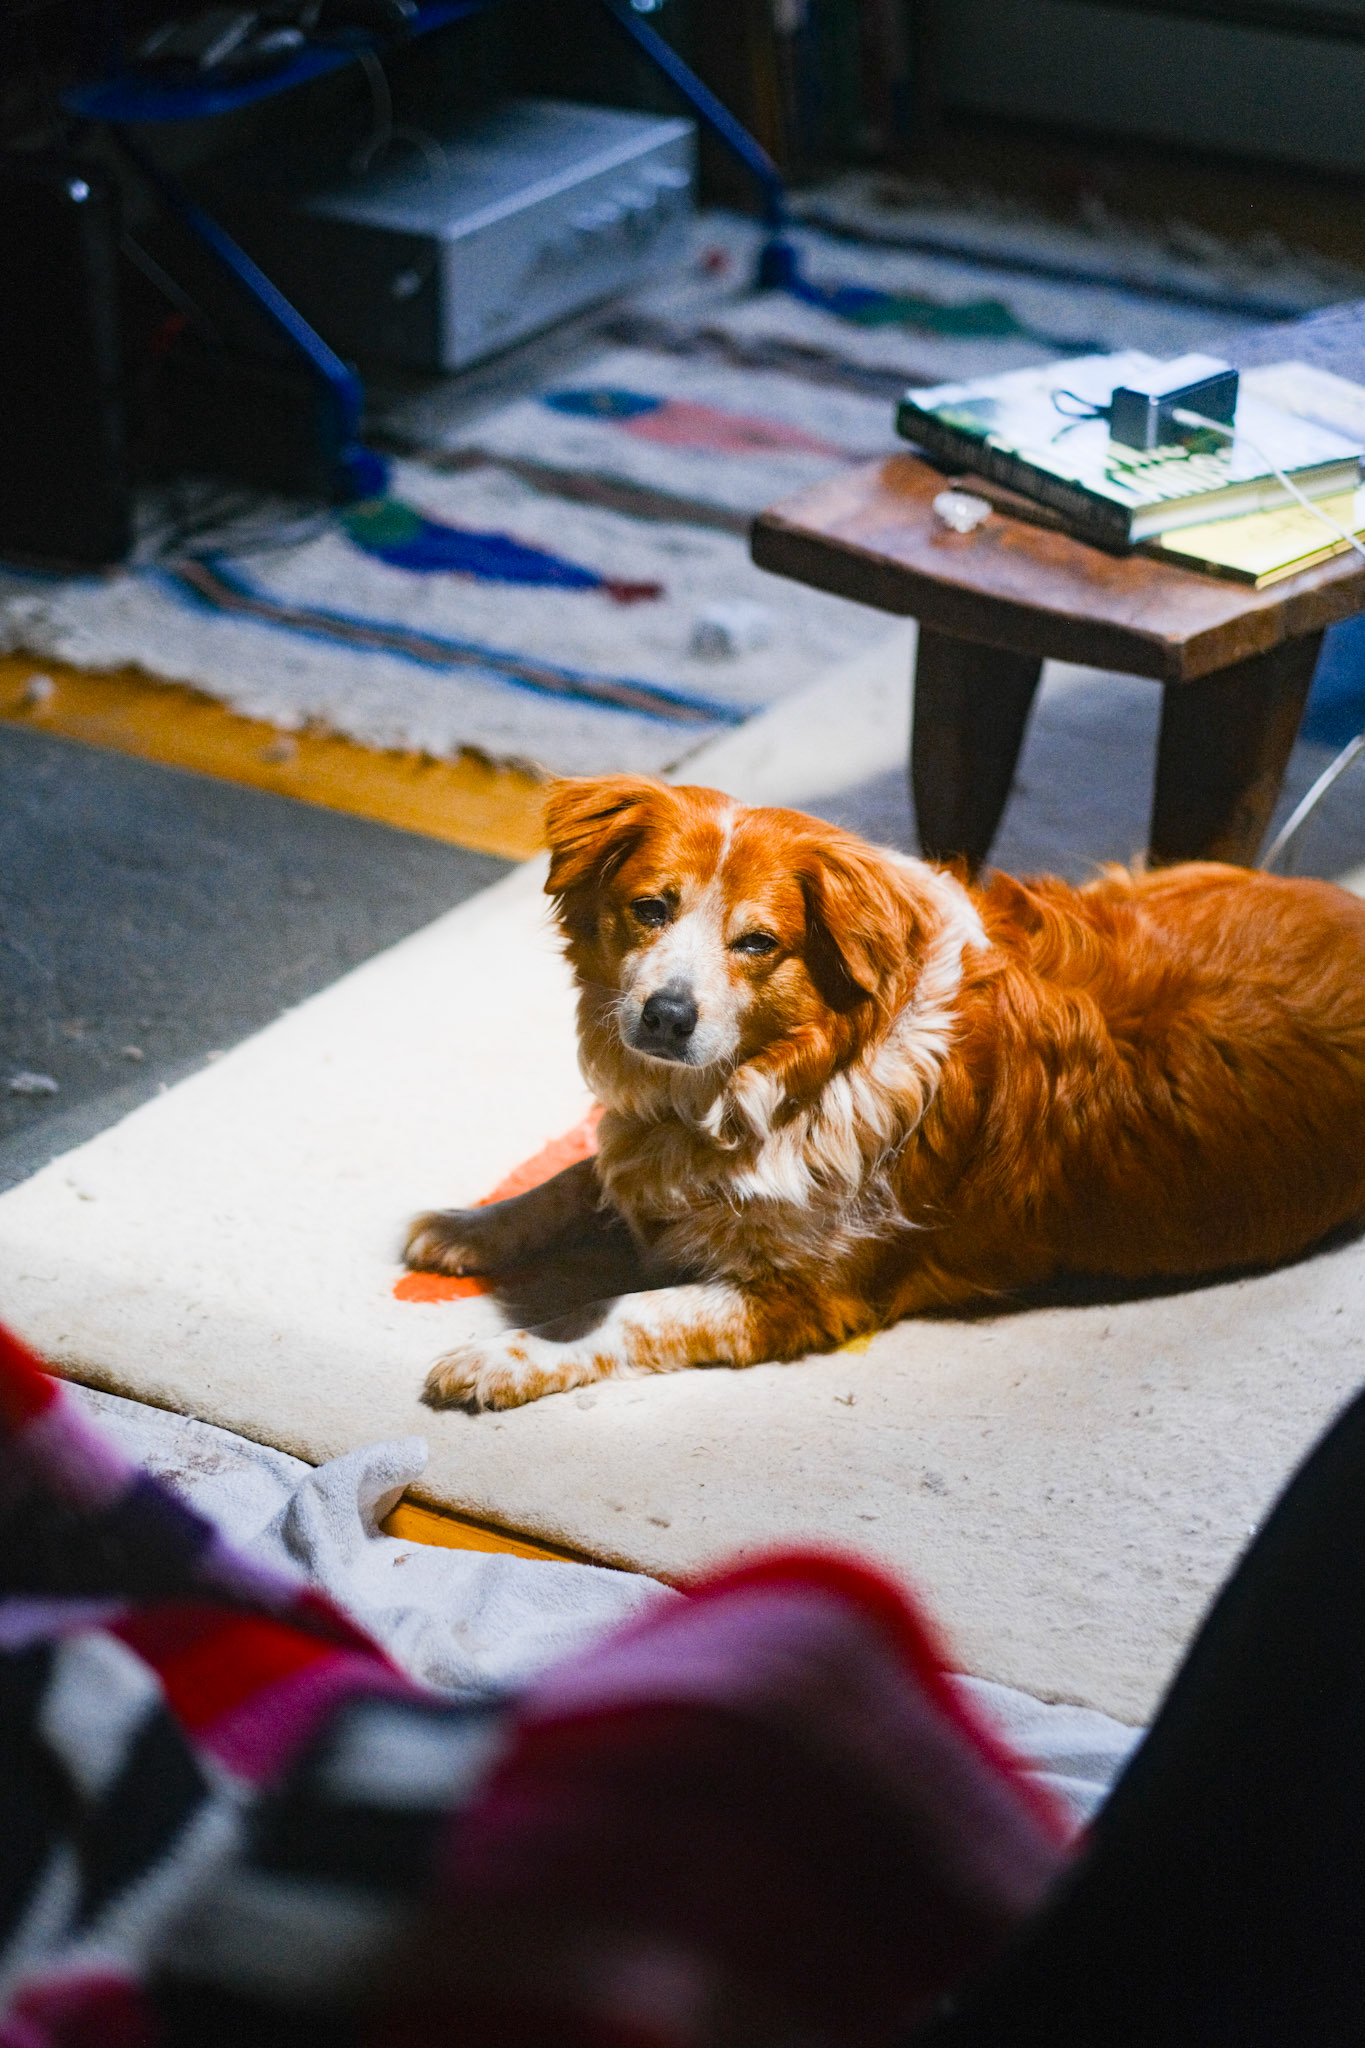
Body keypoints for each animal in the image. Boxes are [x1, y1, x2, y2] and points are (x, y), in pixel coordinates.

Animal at [406, 775, 1365, 1409]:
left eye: (757, 943)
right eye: (650, 909)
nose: (666, 1017)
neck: (779, 1082)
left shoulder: (801, 1299)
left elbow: (629, 1314)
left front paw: (501, 1357)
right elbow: (581, 1175)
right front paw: (469, 1226)